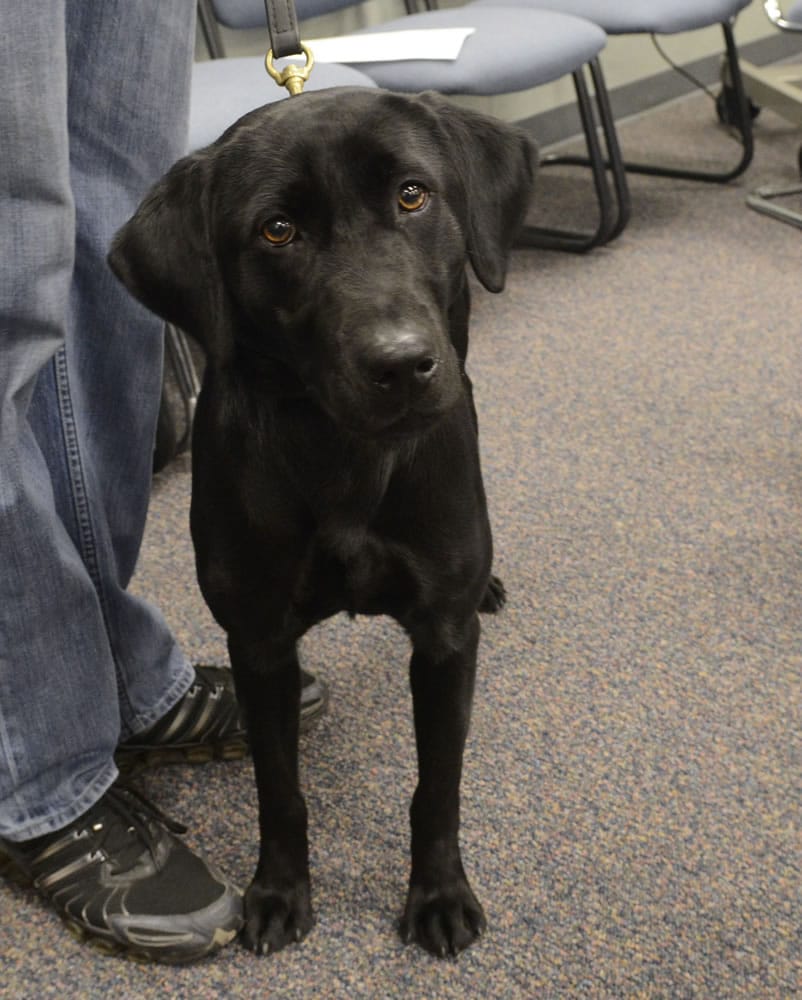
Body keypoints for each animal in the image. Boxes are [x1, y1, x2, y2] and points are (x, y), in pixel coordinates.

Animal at [109, 90, 536, 956]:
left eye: (412, 194)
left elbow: (437, 787)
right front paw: (277, 892)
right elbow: (280, 790)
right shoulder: (259, 646)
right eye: (278, 230)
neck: (345, 456)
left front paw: (439, 894)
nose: (401, 364)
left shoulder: (443, 641)